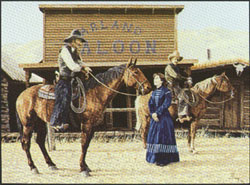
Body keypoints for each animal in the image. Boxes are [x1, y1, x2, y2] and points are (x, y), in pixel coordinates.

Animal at [17, 57, 152, 176]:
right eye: (135, 72)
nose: (148, 87)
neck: (95, 94)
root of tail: (21, 95)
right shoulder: (86, 125)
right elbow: (83, 144)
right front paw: (82, 169)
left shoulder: (92, 127)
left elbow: (86, 146)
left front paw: (86, 166)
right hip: (28, 124)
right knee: (26, 143)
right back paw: (33, 167)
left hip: (40, 123)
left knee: (40, 142)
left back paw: (51, 164)